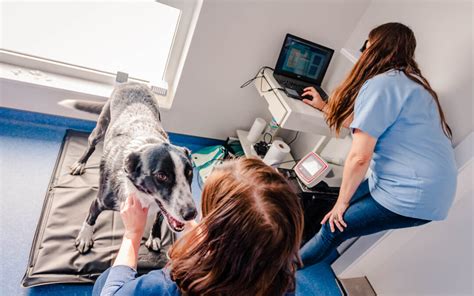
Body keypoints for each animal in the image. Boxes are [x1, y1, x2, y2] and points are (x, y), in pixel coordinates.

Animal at [58, 82, 196, 253]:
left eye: (189, 172)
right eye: (161, 176)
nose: (191, 214)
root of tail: (132, 82)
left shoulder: (163, 208)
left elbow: (159, 219)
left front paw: (155, 237)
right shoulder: (99, 201)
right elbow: (91, 217)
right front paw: (85, 237)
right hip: (101, 127)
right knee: (91, 145)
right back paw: (80, 163)